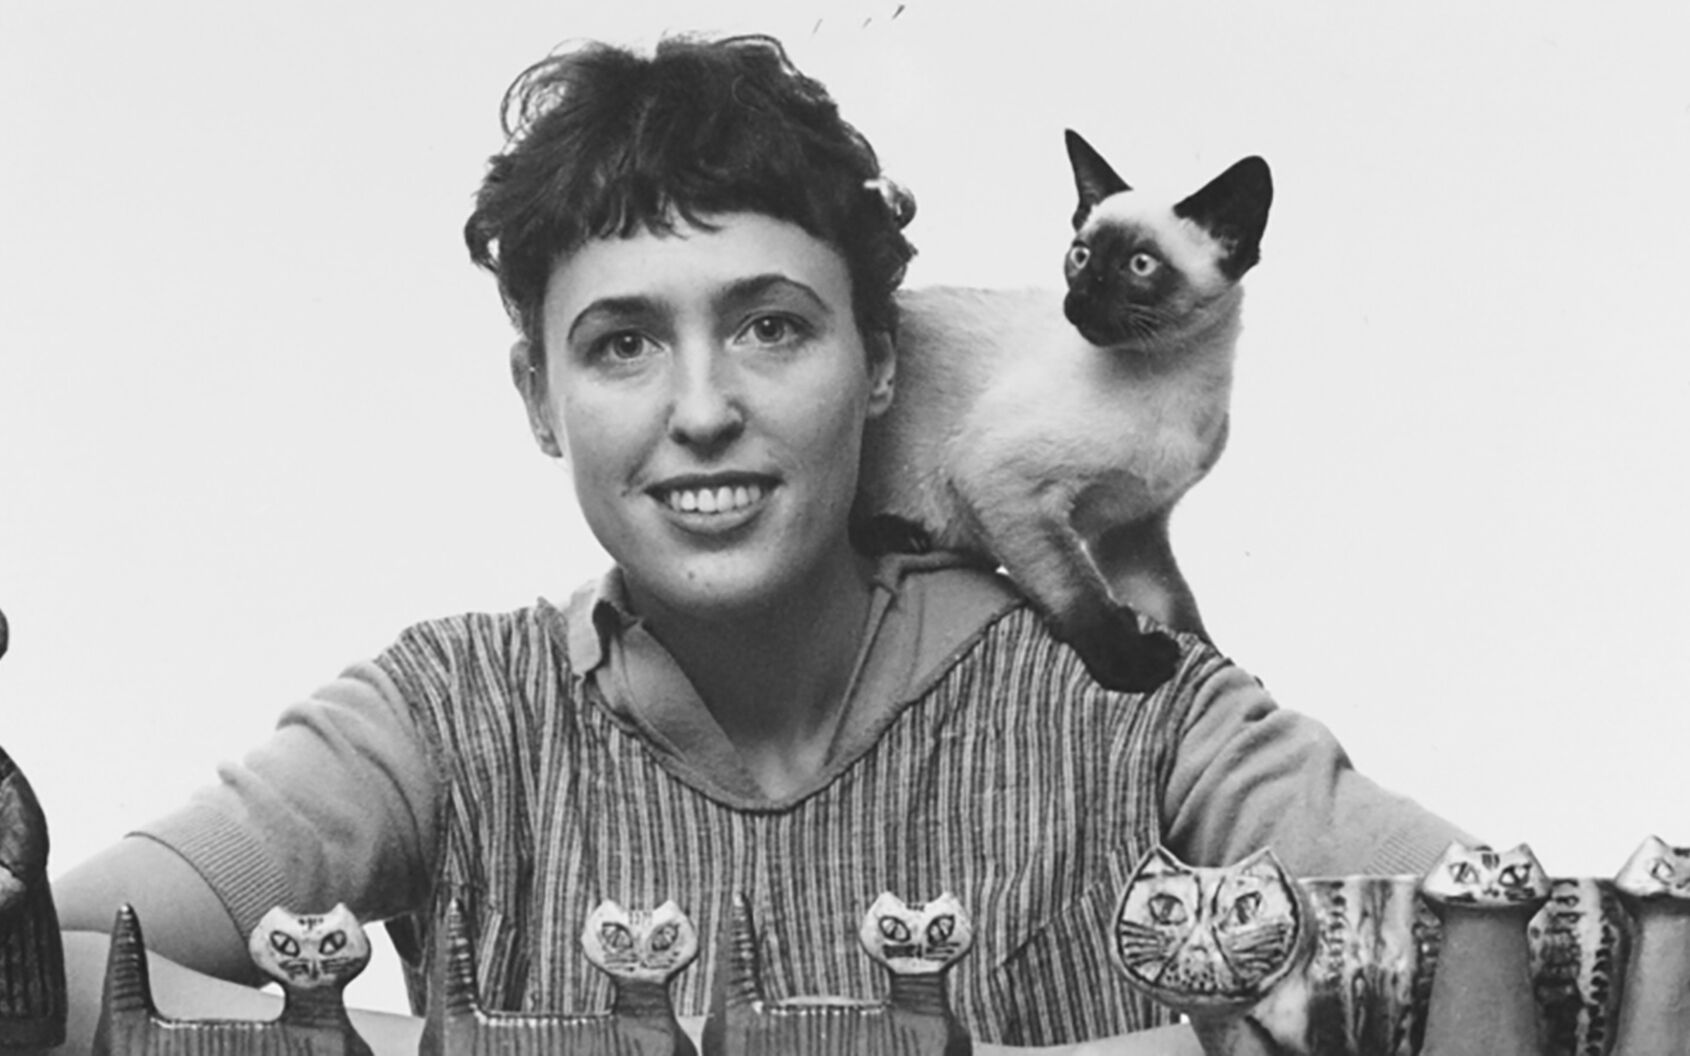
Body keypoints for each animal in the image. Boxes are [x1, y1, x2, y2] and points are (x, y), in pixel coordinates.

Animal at [855, 130, 1272, 693]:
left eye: (1140, 265)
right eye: (1080, 255)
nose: (1079, 301)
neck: (1174, 383)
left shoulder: (1132, 528)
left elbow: (1176, 608)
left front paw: (1223, 666)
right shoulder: (1006, 482)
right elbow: (1079, 591)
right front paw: (1133, 662)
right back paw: (899, 532)